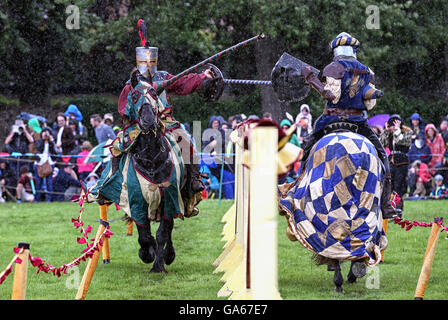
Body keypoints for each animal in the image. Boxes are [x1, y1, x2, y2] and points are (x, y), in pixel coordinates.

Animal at [85, 77, 200, 272]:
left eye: (154, 93)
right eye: (134, 95)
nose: (148, 120)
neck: (152, 160)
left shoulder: (170, 199)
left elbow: (163, 232)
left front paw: (159, 264)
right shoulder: (136, 202)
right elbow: (144, 235)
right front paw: (147, 253)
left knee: (169, 229)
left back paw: (169, 254)